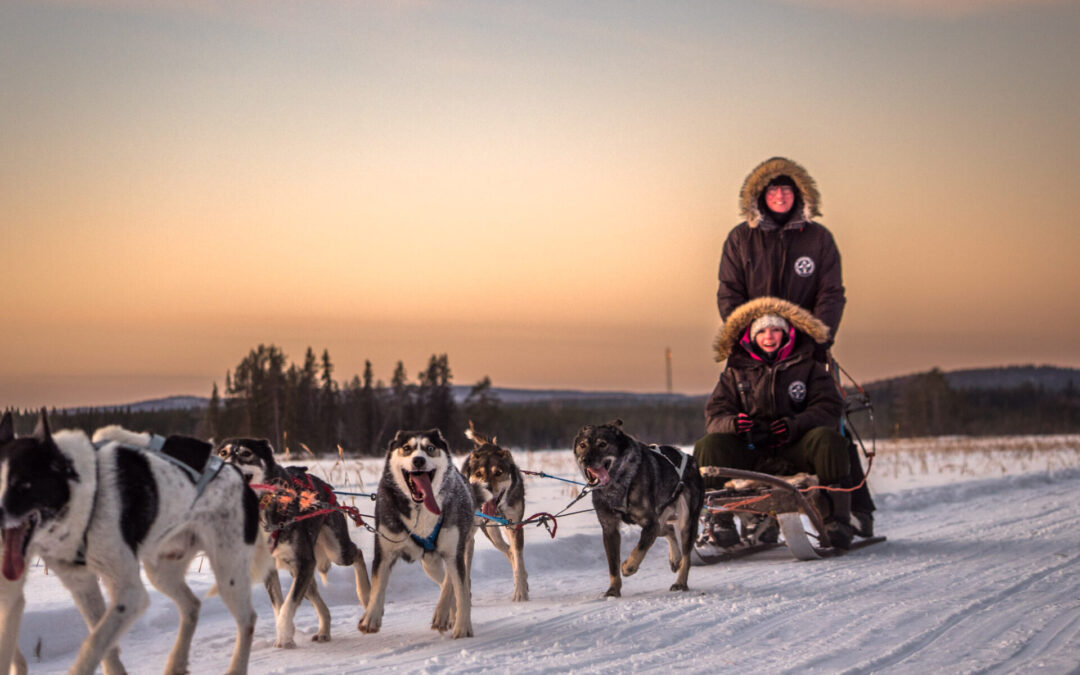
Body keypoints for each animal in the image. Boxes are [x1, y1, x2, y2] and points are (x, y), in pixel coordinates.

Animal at [0, 410, 259, 673]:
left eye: (23, 485)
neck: (86, 494)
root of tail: (237, 475)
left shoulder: (130, 594)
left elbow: (93, 643)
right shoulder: (82, 584)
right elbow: (105, 645)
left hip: (229, 573)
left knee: (247, 620)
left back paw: (236, 667)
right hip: (161, 572)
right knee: (192, 606)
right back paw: (175, 663)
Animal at [217, 436, 373, 648]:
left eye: (246, 453)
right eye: (222, 453)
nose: (224, 467)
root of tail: (325, 486)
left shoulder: (305, 562)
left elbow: (287, 606)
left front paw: (284, 636)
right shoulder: (273, 569)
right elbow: (279, 606)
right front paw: (287, 633)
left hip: (335, 552)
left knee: (357, 553)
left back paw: (365, 595)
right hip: (300, 572)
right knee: (319, 601)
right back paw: (323, 631)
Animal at [360, 429, 475, 639]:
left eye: (430, 448)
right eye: (407, 448)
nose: (419, 460)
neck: (420, 508)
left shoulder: (454, 551)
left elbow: (460, 590)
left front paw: (463, 627)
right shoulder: (385, 552)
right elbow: (378, 587)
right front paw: (371, 618)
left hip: (455, 549)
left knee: (452, 582)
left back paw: (443, 614)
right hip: (430, 564)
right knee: (445, 581)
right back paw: (446, 615)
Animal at [462, 423, 529, 604]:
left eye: (498, 472)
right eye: (478, 474)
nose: (486, 487)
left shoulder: (514, 525)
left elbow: (518, 559)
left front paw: (520, 591)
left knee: (511, 552)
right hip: (489, 532)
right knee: (506, 551)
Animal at [574, 419, 708, 596]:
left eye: (602, 444)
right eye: (582, 445)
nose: (585, 459)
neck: (618, 483)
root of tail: (691, 459)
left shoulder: (650, 524)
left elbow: (640, 548)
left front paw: (629, 566)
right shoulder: (610, 528)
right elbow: (612, 564)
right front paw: (613, 590)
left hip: (687, 522)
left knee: (686, 556)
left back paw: (680, 582)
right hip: (662, 520)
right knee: (669, 531)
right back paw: (675, 558)